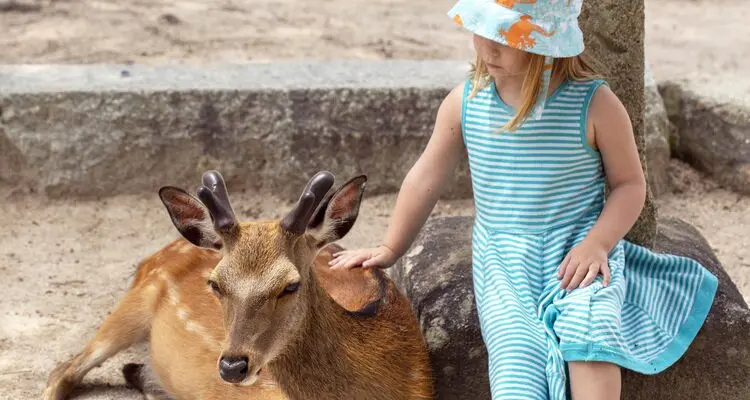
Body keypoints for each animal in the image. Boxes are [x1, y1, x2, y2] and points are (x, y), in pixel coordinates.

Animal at [43, 170, 434, 400]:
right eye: (215, 284)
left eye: (290, 285)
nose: (232, 366)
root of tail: (148, 259)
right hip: (131, 307)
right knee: (62, 371)